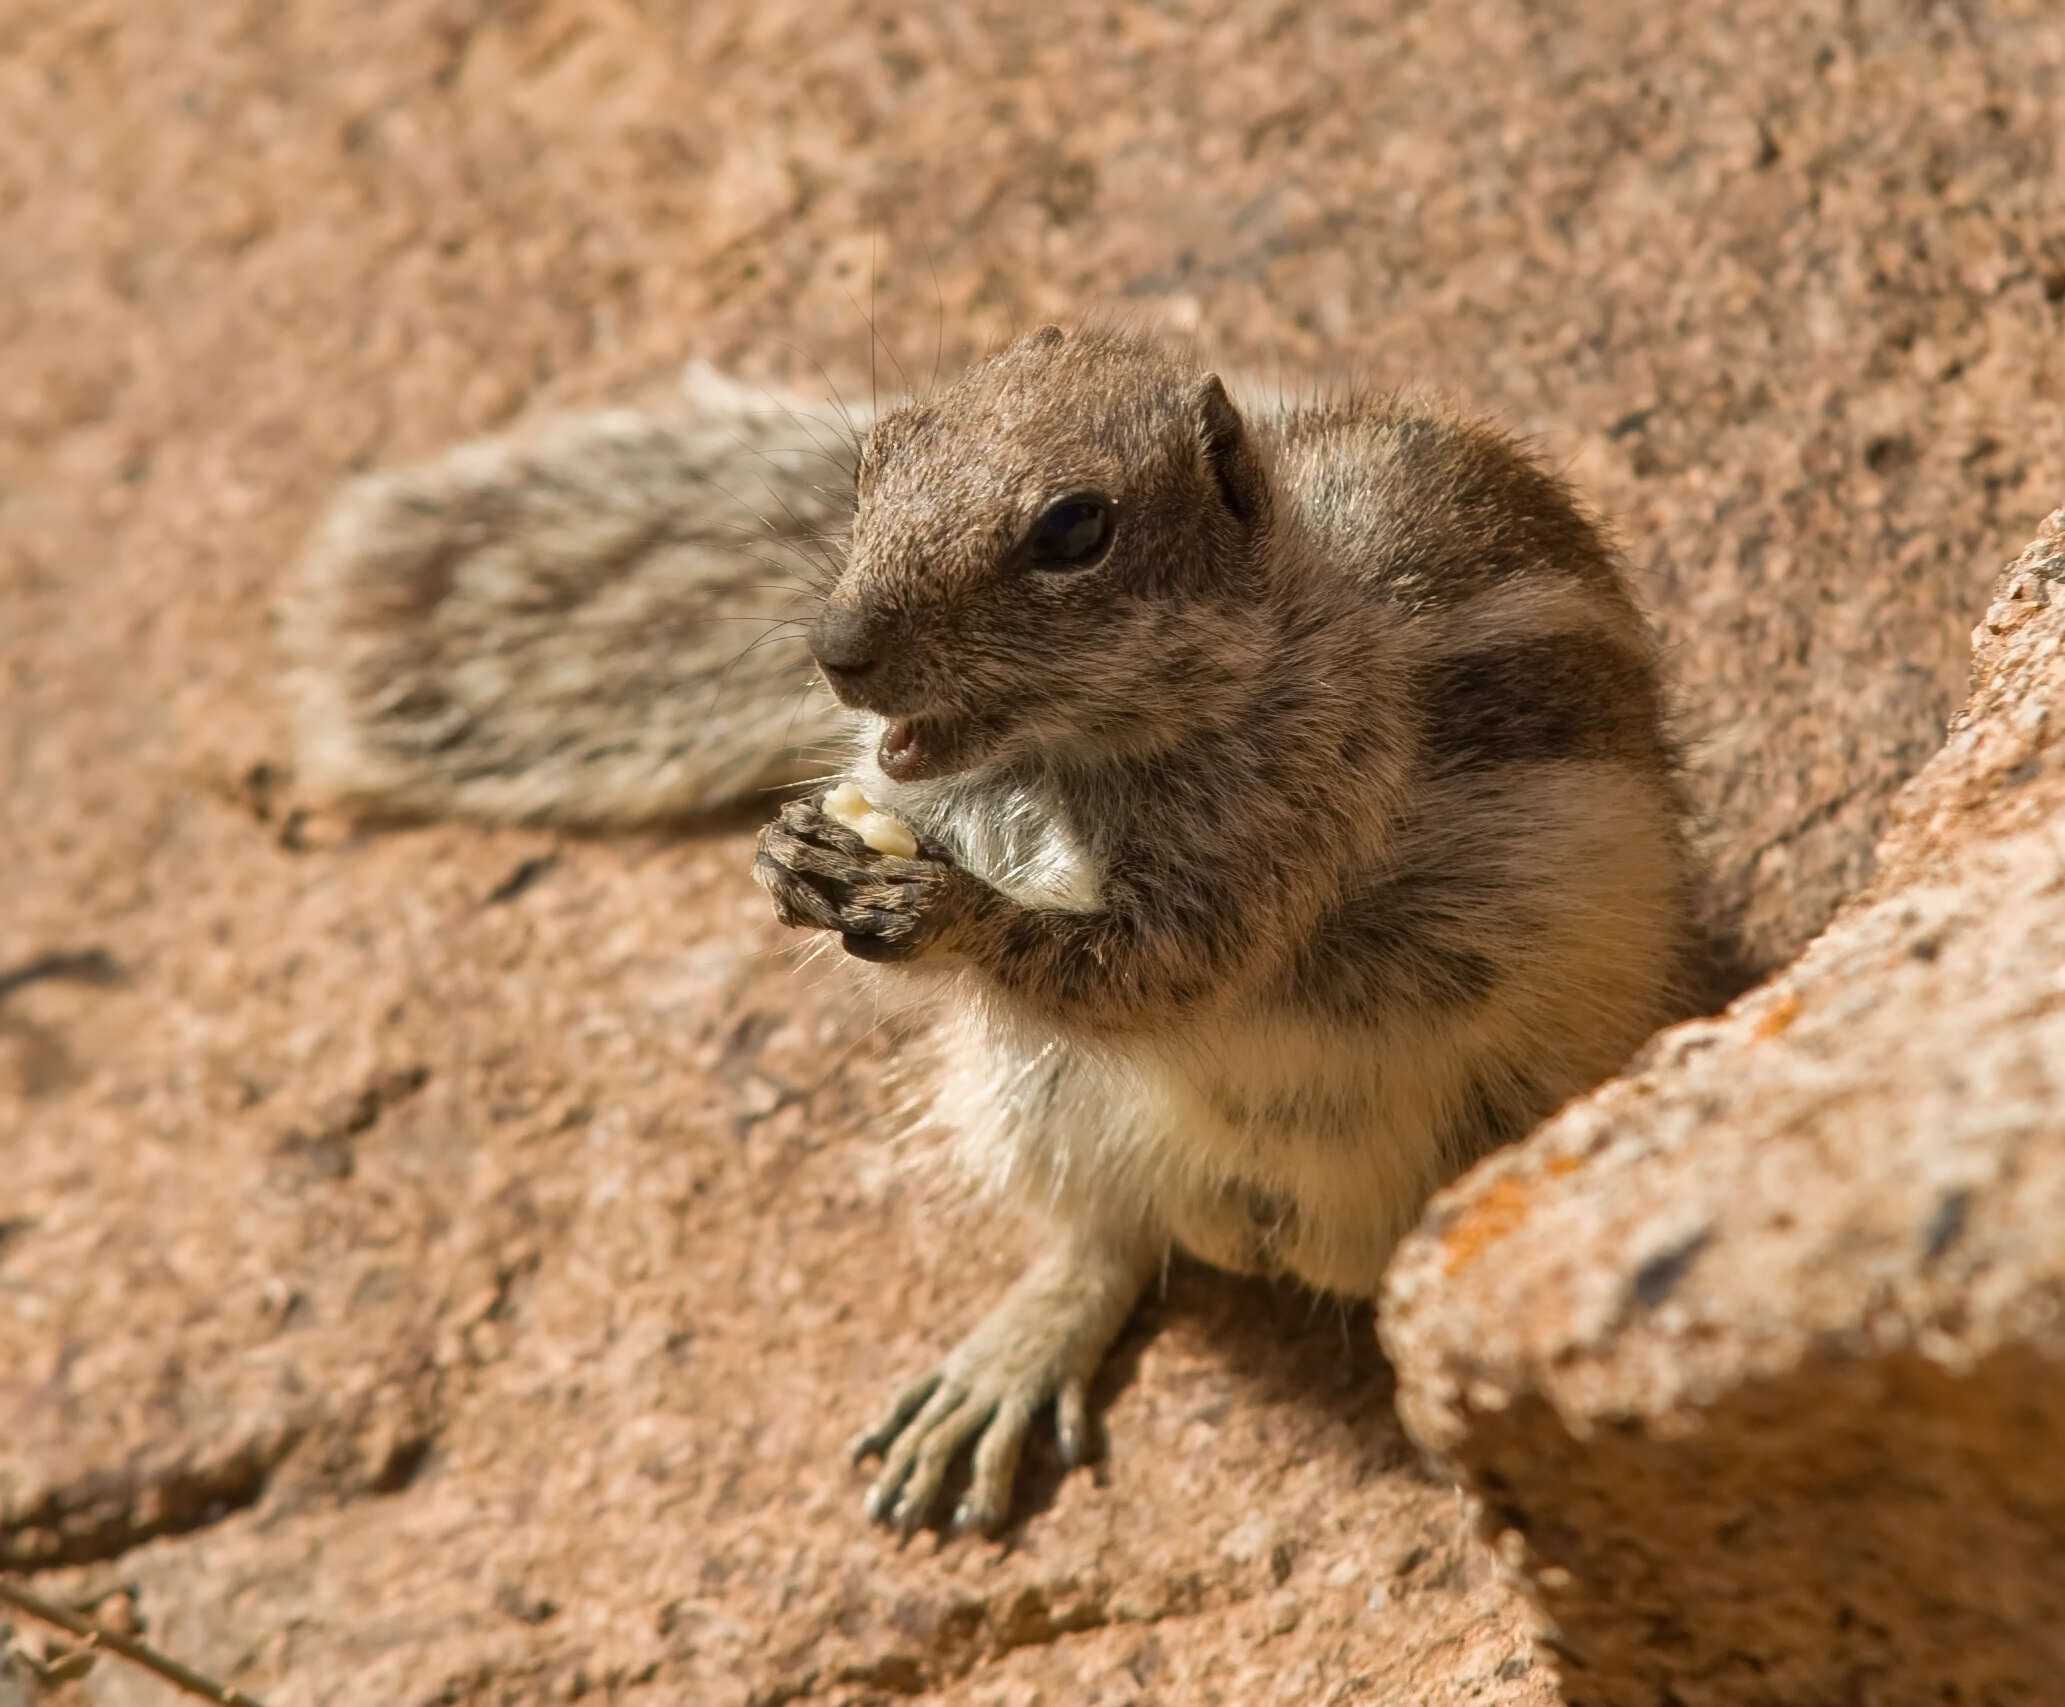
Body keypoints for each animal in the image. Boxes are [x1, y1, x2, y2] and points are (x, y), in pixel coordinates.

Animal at [287, 319, 1709, 1535]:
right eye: (876, 458)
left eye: (1075, 529)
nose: (837, 650)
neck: (1071, 770)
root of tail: (1276, 1235)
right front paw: (786, 854)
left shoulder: (1295, 809)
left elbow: (1166, 964)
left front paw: (948, 911)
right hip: (1035, 1094)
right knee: (1107, 1236)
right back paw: (1001, 1370)